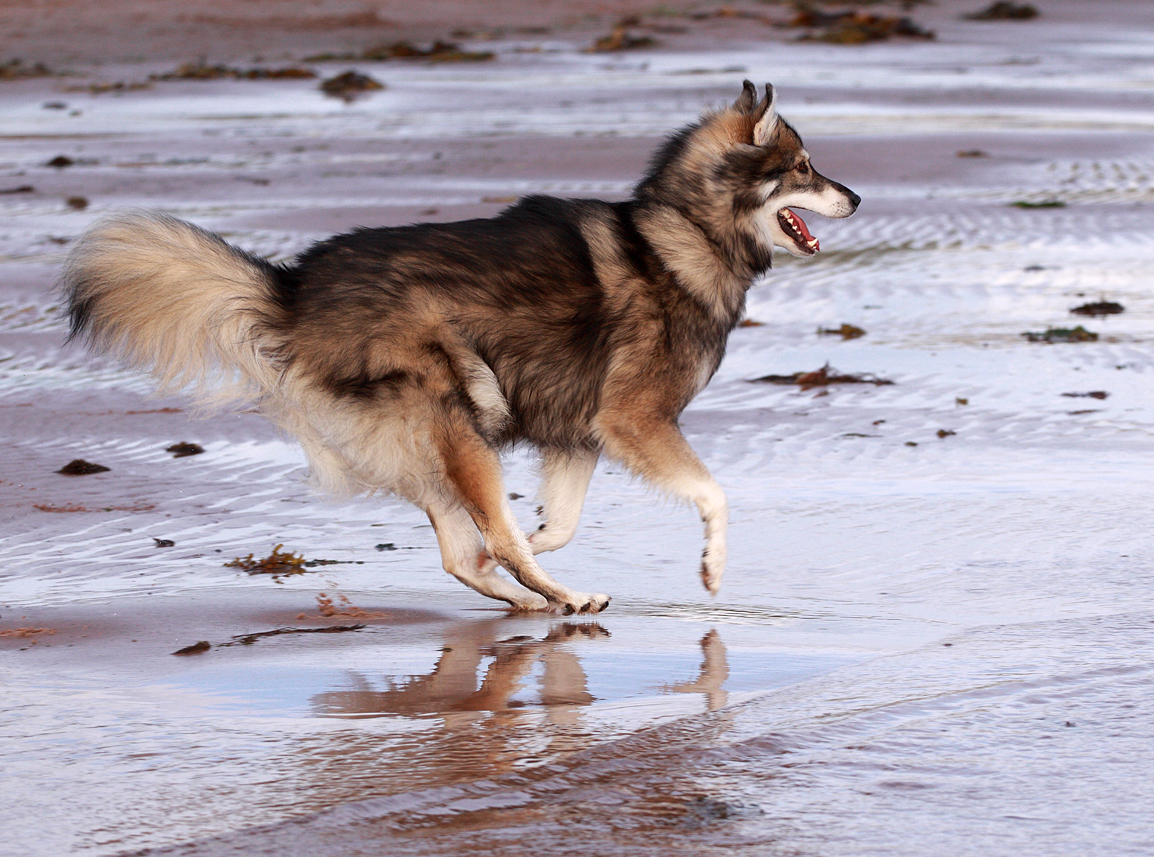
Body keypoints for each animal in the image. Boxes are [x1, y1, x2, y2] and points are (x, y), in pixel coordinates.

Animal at [60, 80, 858, 613]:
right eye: (803, 167)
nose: (856, 197)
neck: (683, 233)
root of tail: (291, 290)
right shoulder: (633, 420)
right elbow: (713, 494)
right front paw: (712, 567)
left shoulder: (578, 435)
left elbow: (556, 525)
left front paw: (541, 539)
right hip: (459, 408)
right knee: (486, 541)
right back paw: (561, 597)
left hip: (432, 441)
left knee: (461, 551)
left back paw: (536, 598)